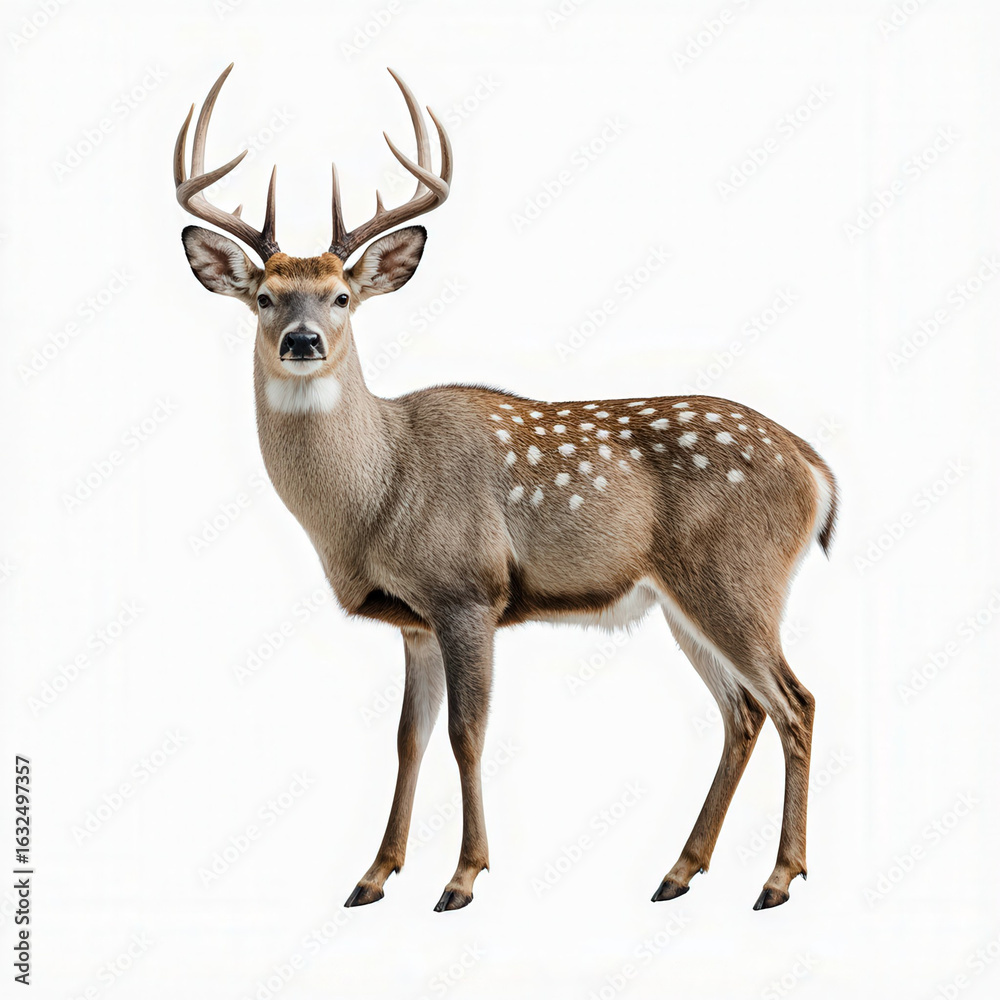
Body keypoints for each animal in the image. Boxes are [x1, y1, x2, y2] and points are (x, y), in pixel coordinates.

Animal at [174, 64, 838, 913]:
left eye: (341, 296)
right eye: (264, 296)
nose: (301, 341)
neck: (380, 496)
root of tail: (816, 469)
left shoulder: (469, 590)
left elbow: (468, 734)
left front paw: (461, 878)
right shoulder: (414, 619)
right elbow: (408, 738)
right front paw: (373, 875)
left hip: (737, 576)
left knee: (796, 701)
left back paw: (778, 878)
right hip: (684, 598)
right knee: (744, 711)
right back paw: (679, 872)